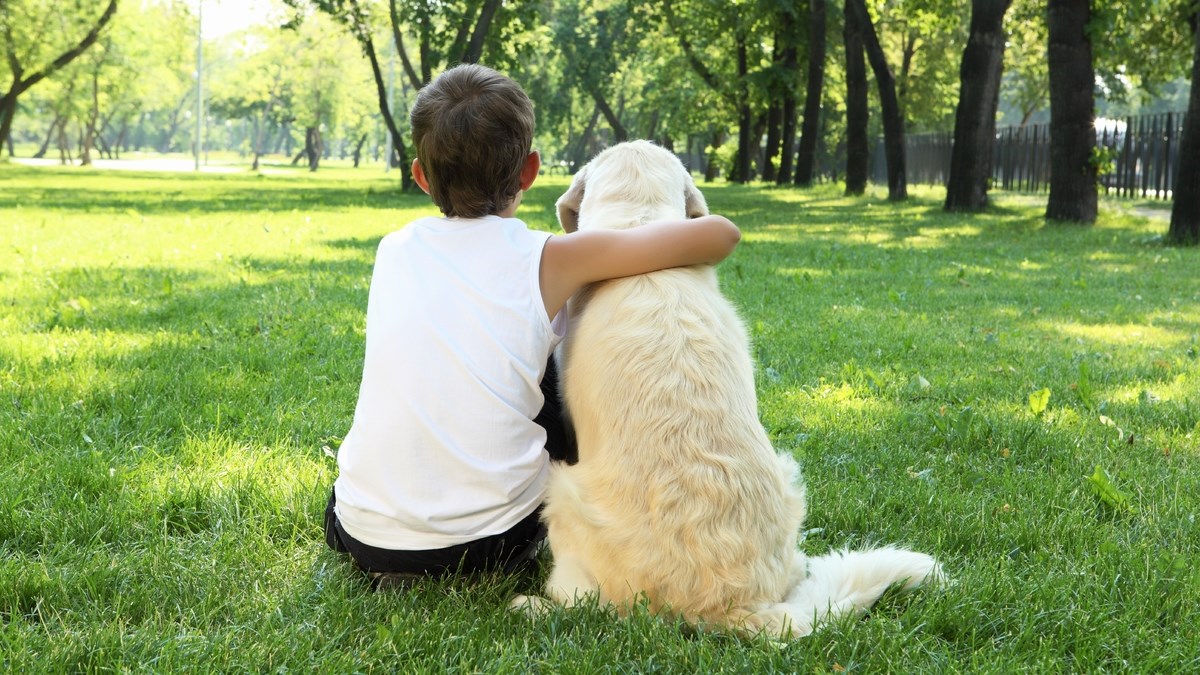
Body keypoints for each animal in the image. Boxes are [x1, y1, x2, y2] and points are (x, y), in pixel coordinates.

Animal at [516, 139, 945, 634]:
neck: (640, 223)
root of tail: (735, 606)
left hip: (562, 494)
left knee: (581, 605)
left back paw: (530, 604)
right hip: (789, 479)